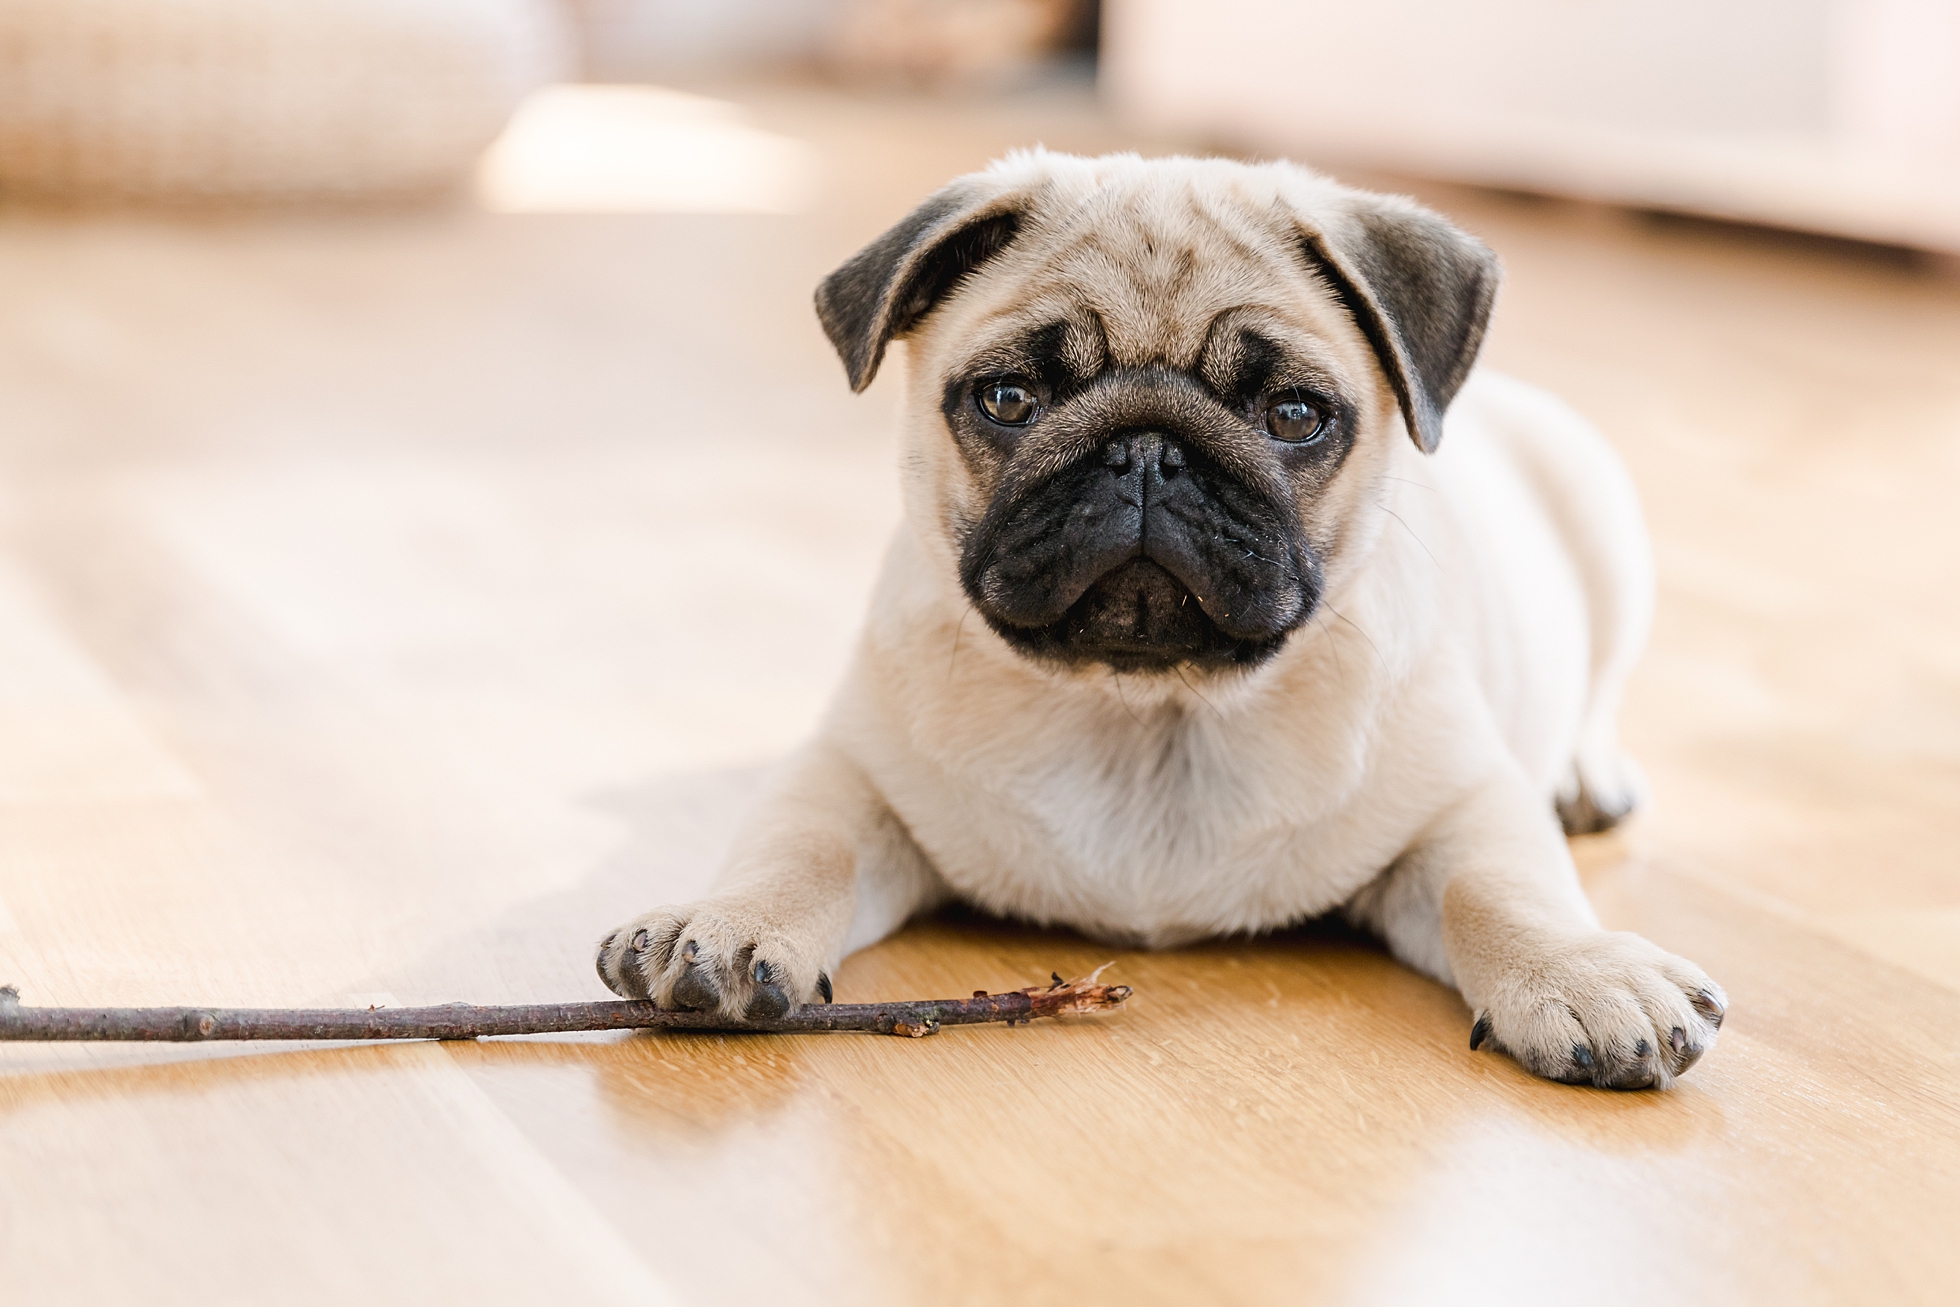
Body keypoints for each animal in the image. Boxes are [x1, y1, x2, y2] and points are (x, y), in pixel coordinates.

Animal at [588, 147, 1724, 1089]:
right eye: (1008, 398)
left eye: (1294, 415)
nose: (1146, 450)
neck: (1148, 714)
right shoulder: (851, 773)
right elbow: (800, 847)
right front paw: (727, 925)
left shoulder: (1466, 802)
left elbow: (1504, 889)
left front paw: (1581, 972)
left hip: (1604, 523)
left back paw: (1587, 776)